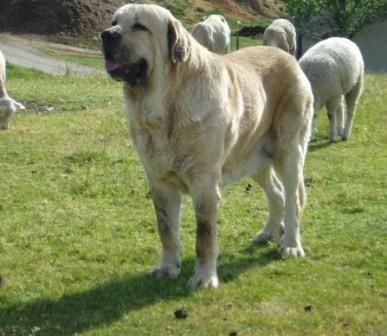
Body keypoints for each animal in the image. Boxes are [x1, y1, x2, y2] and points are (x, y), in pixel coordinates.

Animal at [101, 3, 314, 288]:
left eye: (139, 26)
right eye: (114, 21)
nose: (106, 34)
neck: (165, 106)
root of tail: (289, 58)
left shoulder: (204, 183)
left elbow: (204, 235)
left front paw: (204, 278)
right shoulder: (160, 182)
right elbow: (166, 230)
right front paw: (167, 268)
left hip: (289, 152)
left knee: (293, 198)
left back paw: (290, 244)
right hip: (253, 157)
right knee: (277, 193)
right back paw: (269, 232)